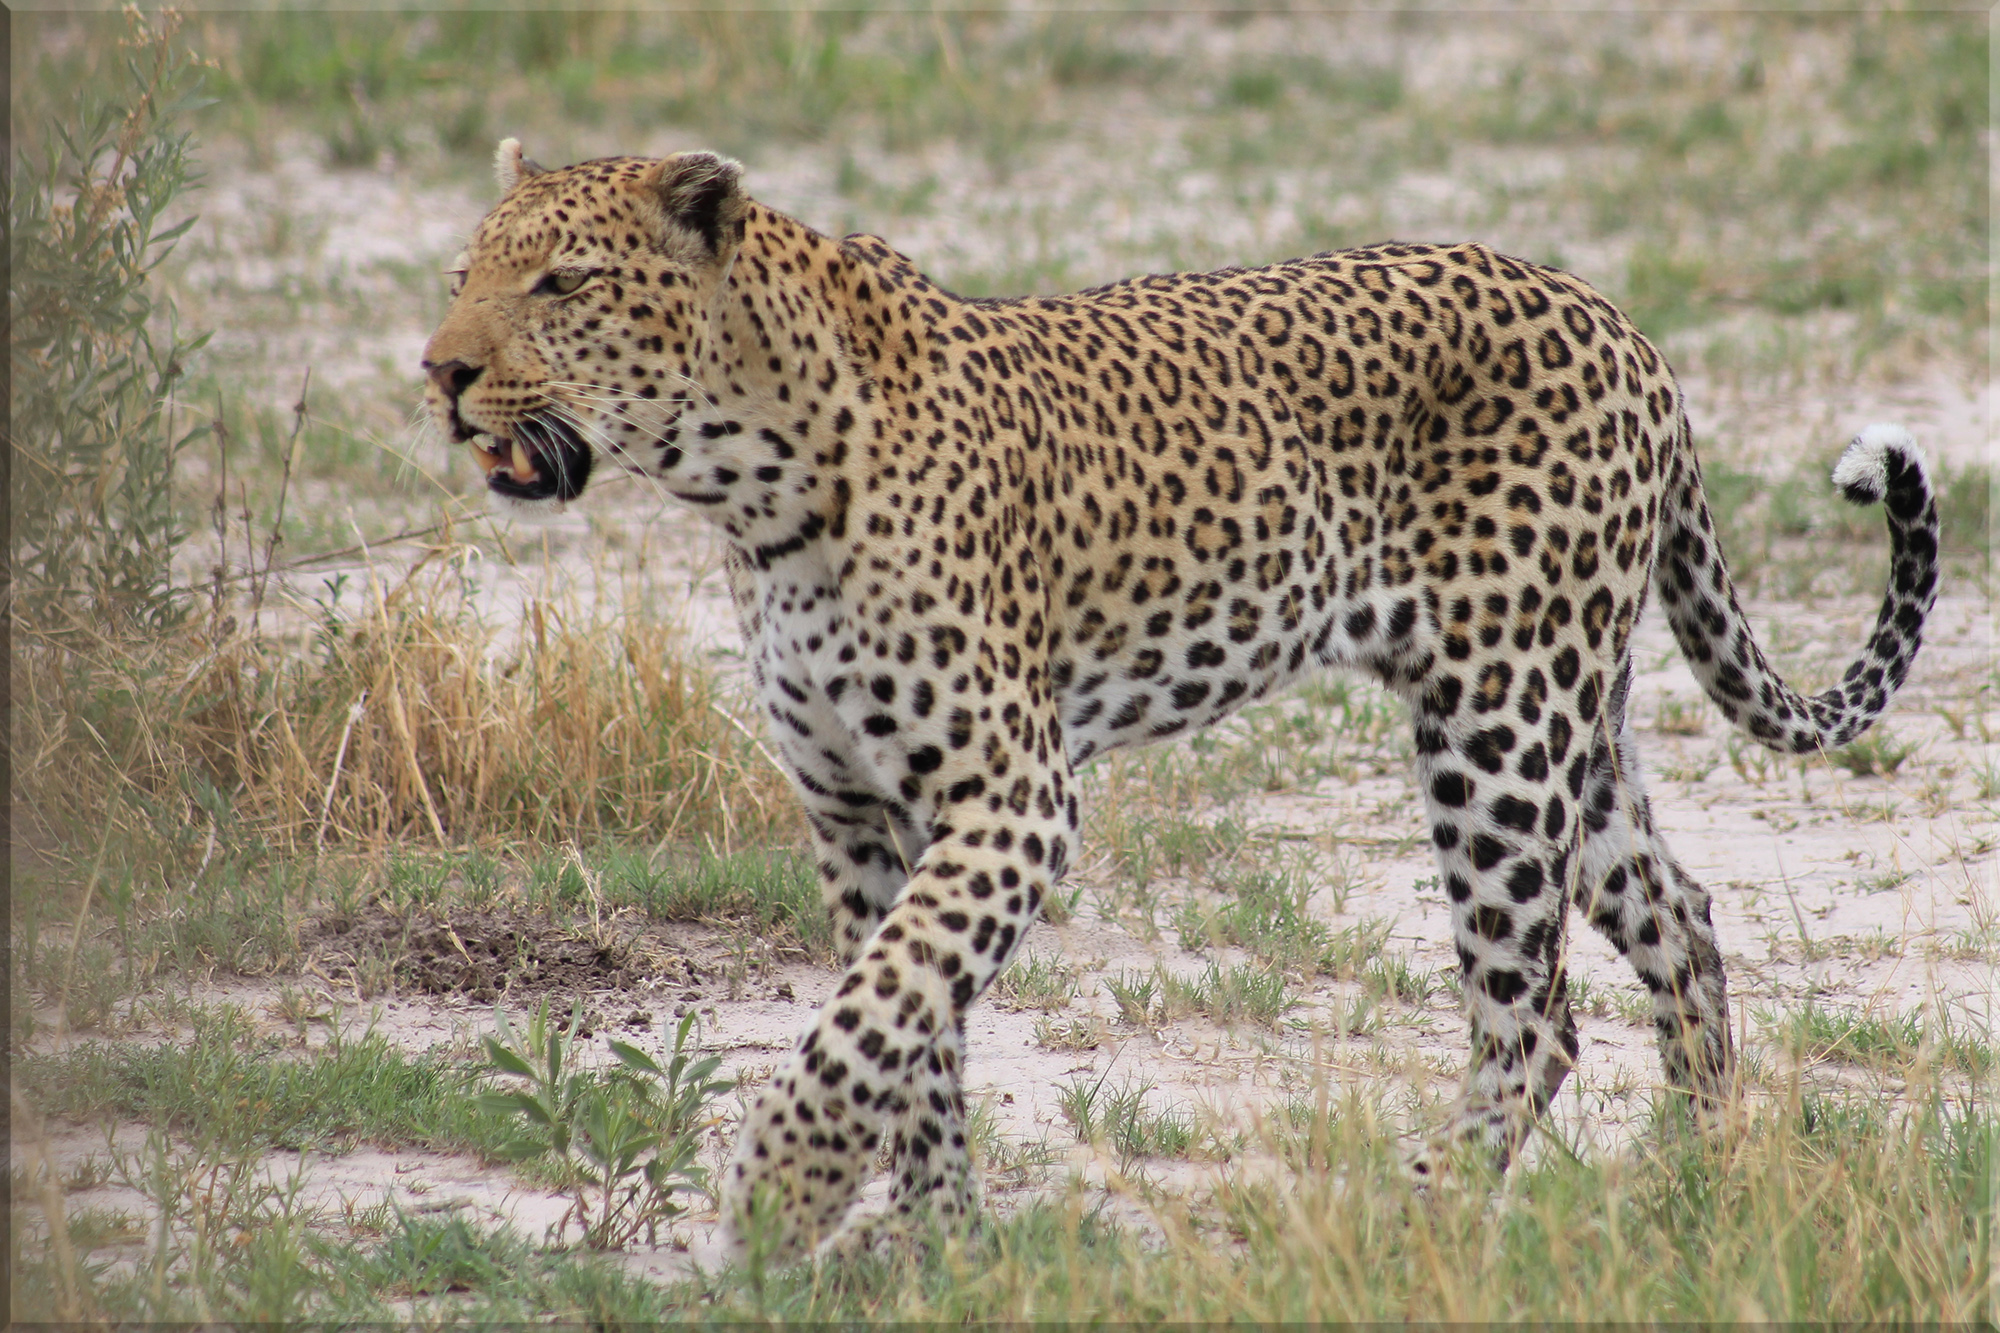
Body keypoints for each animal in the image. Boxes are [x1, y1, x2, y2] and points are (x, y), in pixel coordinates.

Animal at [421, 140, 1941, 1262]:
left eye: (560, 281)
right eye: (462, 273)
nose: (440, 373)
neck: (749, 488)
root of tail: (1622, 325)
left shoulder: (1014, 798)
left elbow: (871, 1016)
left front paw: (779, 1204)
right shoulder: (855, 811)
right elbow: (907, 1026)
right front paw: (937, 1240)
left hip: (1498, 726)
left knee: (1534, 1012)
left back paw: (1415, 1207)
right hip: (1573, 715)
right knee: (1678, 917)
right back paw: (1690, 1186)